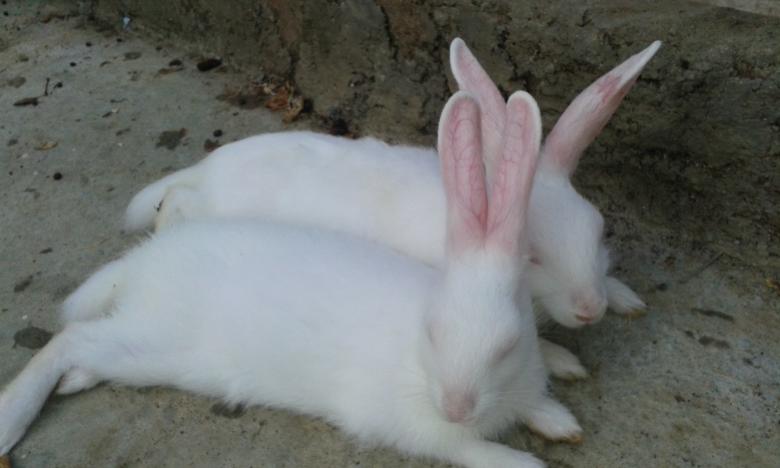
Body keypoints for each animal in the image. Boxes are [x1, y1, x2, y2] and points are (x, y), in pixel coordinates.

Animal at [0, 91, 580, 467]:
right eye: (433, 335)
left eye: (507, 346)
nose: (456, 407)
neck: (419, 367)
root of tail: (139, 266)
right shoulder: (426, 432)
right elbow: (477, 451)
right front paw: (534, 456)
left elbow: (536, 401)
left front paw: (560, 421)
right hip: (154, 341)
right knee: (70, 339)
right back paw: (11, 419)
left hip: (141, 354)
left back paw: (73, 382)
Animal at [124, 39, 659, 373]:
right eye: (533, 257)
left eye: (600, 231)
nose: (591, 309)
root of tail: (206, 170)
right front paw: (564, 361)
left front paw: (625, 297)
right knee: (174, 205)